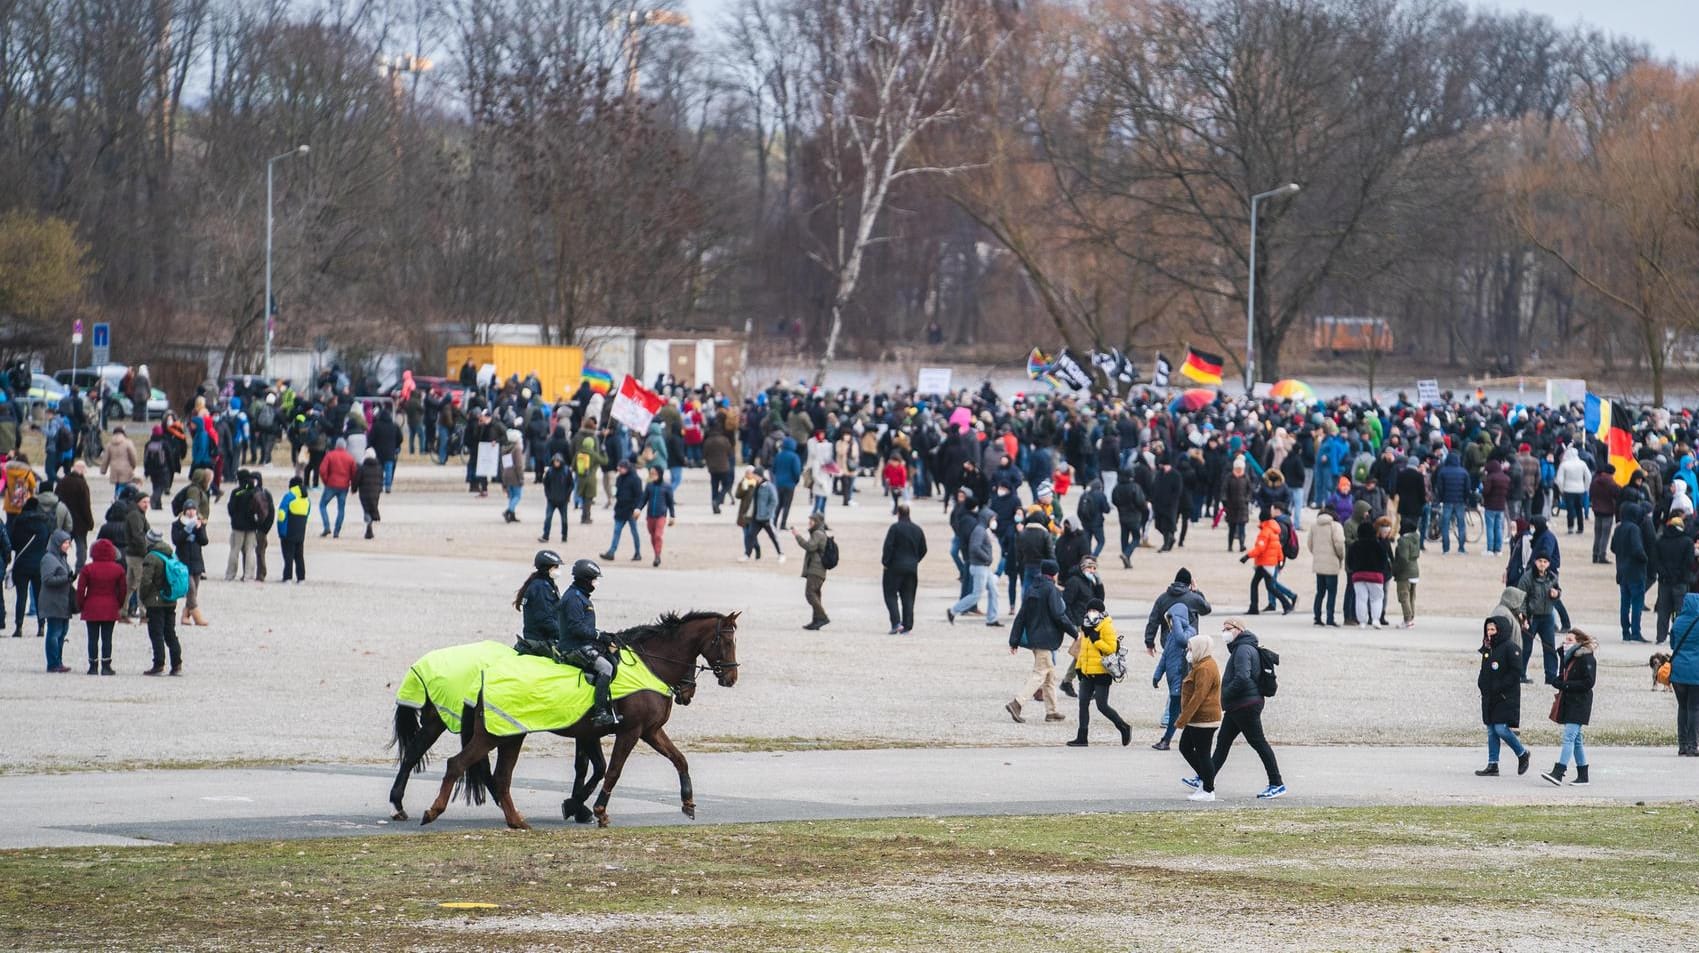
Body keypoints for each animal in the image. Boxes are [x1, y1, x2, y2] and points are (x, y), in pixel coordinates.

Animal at [419, 611, 737, 828]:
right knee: (457, 764)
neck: (650, 664)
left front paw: (688, 801)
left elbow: (679, 759)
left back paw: (516, 820)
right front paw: (597, 810)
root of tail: (482, 678)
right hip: (494, 735)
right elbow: (612, 771)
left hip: (511, 735)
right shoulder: (630, 732)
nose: (732, 677)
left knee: (500, 777)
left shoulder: (648, 731)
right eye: (725, 641)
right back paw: (433, 811)